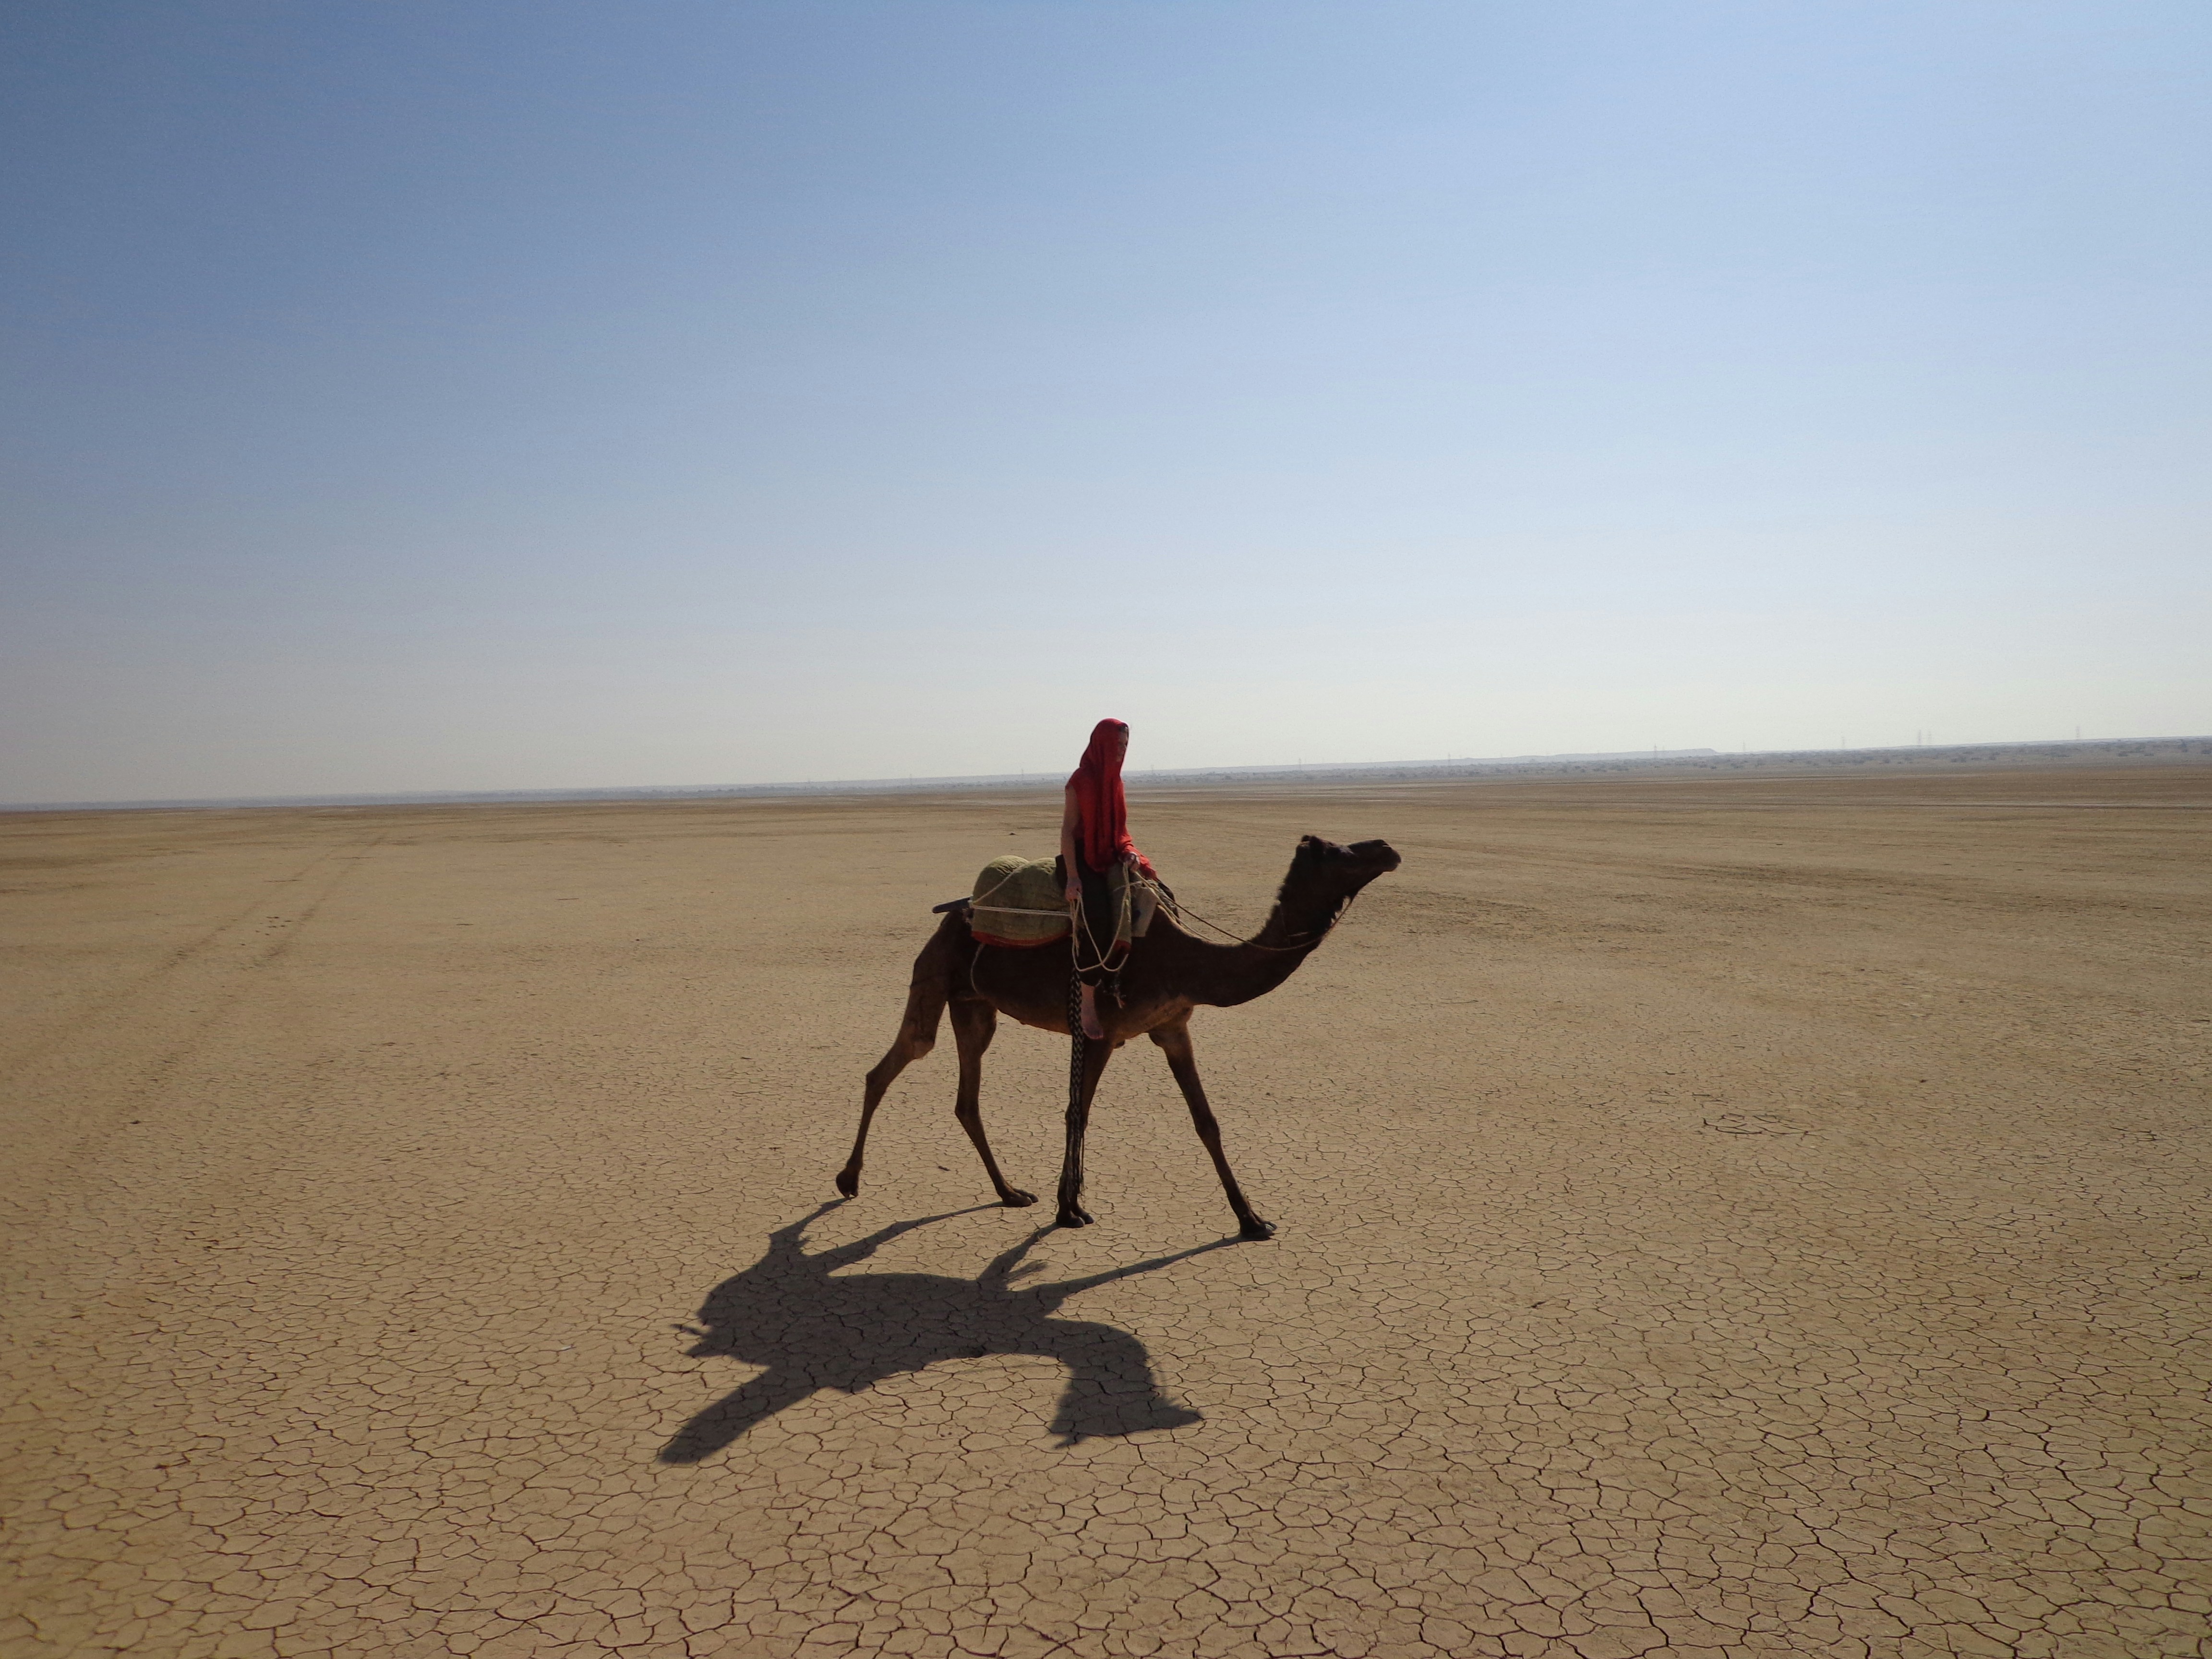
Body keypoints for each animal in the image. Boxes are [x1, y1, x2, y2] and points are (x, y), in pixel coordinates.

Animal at [836, 834, 1402, 1238]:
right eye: (1339, 851)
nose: (1388, 848)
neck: (1189, 960)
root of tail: (961, 909)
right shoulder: (1100, 1032)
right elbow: (1078, 1112)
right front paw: (1070, 1209)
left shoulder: (1173, 1027)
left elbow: (1207, 1121)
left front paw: (1252, 1220)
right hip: (936, 975)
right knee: (899, 1058)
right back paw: (849, 1180)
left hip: (976, 1006)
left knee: (965, 1099)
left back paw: (1011, 1192)